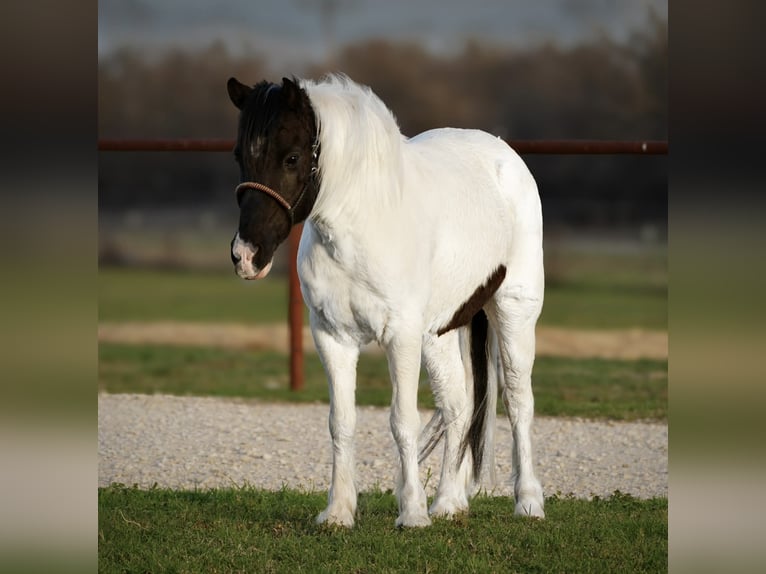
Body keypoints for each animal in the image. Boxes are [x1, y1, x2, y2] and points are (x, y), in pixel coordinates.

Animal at [227, 74, 545, 528]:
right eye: (240, 155)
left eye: (291, 157)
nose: (247, 256)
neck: (363, 223)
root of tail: (505, 155)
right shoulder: (332, 336)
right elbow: (341, 421)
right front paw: (338, 512)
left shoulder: (401, 336)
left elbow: (402, 421)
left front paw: (411, 512)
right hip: (439, 333)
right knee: (459, 406)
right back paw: (448, 503)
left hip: (514, 311)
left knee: (518, 402)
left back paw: (529, 502)